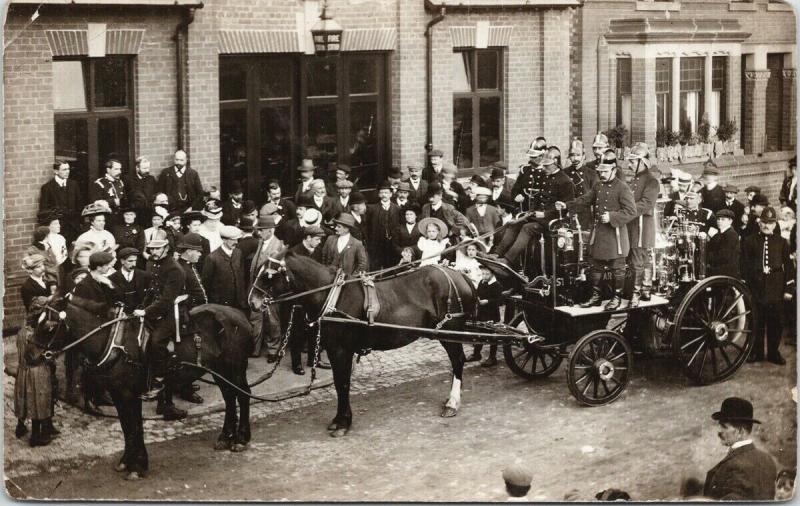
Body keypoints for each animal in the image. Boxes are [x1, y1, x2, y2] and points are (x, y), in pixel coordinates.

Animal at [62, 294, 256, 480]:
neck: (116, 340)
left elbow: (135, 427)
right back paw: (225, 437)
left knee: (243, 395)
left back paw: (241, 439)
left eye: (53, 323)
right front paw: (126, 461)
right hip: (219, 370)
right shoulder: (118, 394)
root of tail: (240, 315)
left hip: (235, 368)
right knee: (230, 398)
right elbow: (127, 427)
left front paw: (137, 466)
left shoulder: (130, 394)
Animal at [248, 255, 476, 436]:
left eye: (268, 275)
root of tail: (459, 275)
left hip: (449, 332)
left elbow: (343, 384)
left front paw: (343, 423)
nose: (252, 302)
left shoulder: (341, 350)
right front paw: (339, 420)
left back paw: (452, 403)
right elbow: (339, 383)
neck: (333, 298)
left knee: (458, 361)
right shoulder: (335, 350)